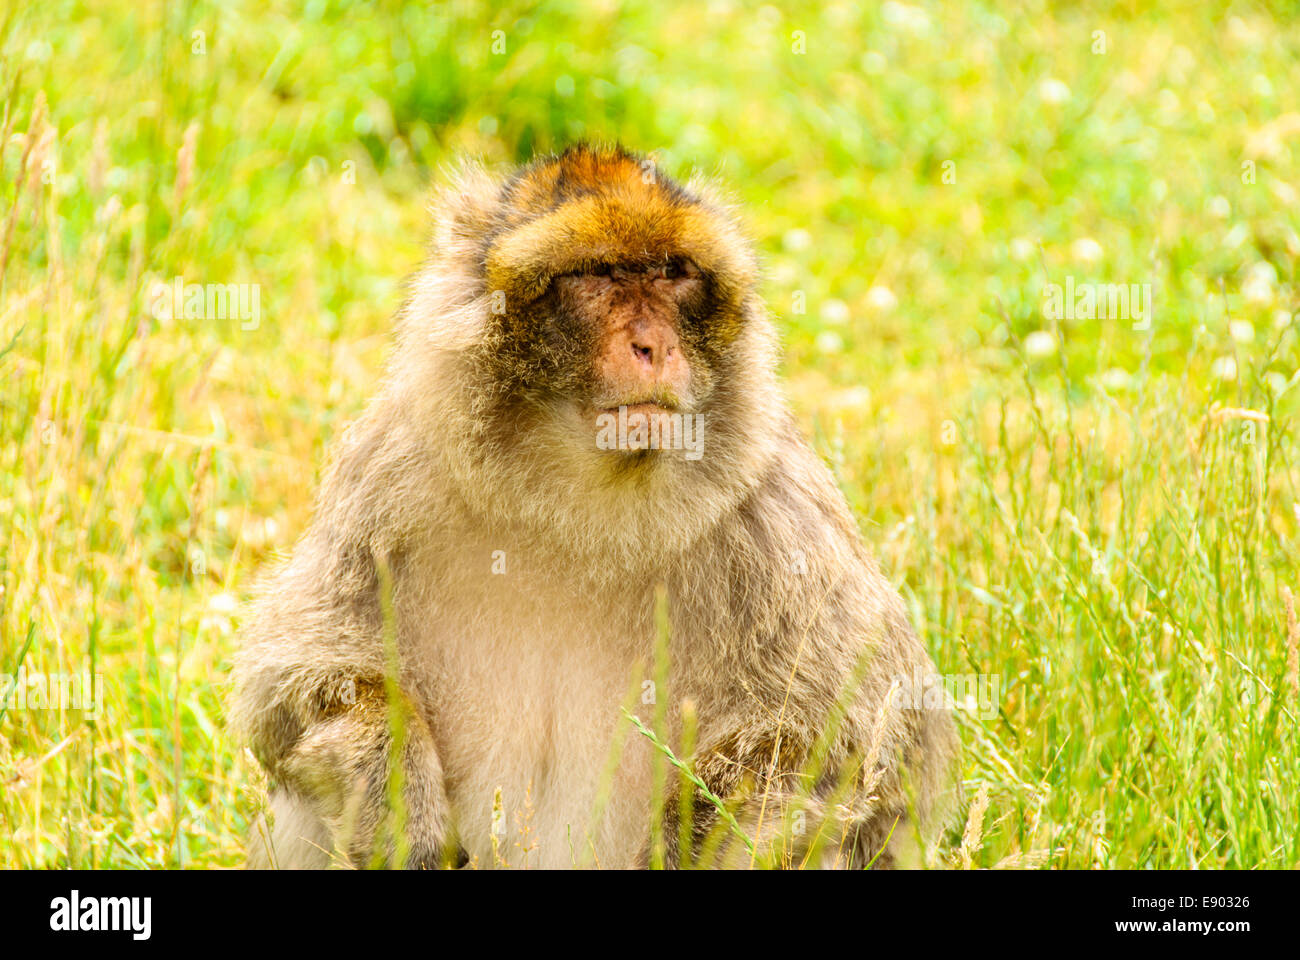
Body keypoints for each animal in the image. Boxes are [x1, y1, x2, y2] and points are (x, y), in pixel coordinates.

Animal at [233, 143, 961, 868]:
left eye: (672, 273)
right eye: (598, 275)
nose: (653, 345)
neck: (583, 493)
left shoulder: (776, 514)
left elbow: (856, 740)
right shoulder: (390, 475)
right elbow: (297, 682)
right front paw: (400, 807)